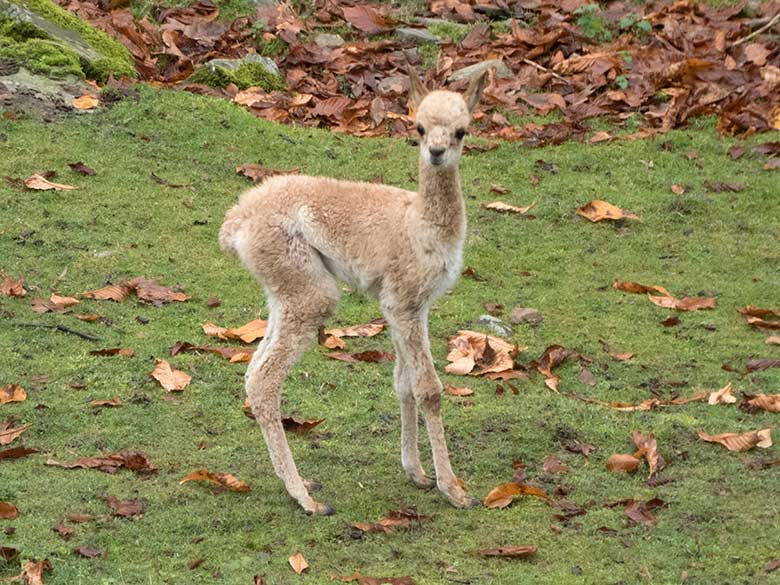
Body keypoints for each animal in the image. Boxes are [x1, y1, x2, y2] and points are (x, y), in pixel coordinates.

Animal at [221, 69, 488, 516]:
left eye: (461, 131)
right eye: (418, 128)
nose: (436, 152)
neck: (420, 224)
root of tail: (236, 220)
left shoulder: (406, 305)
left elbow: (404, 383)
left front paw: (417, 473)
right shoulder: (404, 300)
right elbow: (429, 390)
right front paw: (453, 489)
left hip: (284, 288)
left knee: (253, 369)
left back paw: (294, 483)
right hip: (309, 287)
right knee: (265, 379)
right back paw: (307, 499)